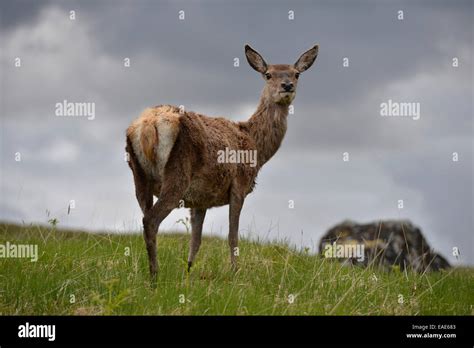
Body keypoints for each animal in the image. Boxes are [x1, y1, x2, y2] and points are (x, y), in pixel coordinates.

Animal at [126, 44, 318, 280]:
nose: (287, 85)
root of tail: (148, 126)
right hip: (177, 173)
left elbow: (196, 240)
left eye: (296, 73)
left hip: (139, 176)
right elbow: (232, 236)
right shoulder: (239, 185)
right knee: (150, 221)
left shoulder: (200, 199)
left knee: (145, 216)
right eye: (268, 74)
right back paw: (155, 277)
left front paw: (189, 272)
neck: (256, 148)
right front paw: (235, 272)